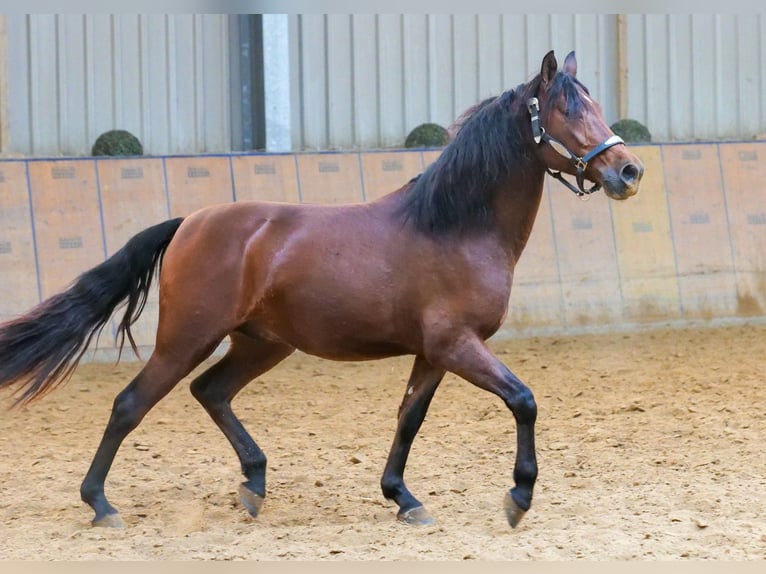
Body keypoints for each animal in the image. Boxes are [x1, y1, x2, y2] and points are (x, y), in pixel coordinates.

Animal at [0, 53, 640, 532]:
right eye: (564, 109)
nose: (628, 172)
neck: (454, 226)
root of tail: (189, 222)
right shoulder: (457, 345)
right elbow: (523, 400)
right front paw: (518, 498)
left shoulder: (435, 353)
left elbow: (409, 418)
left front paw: (402, 497)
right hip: (186, 339)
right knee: (130, 404)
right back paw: (101, 504)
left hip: (262, 344)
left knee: (211, 391)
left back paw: (254, 483)